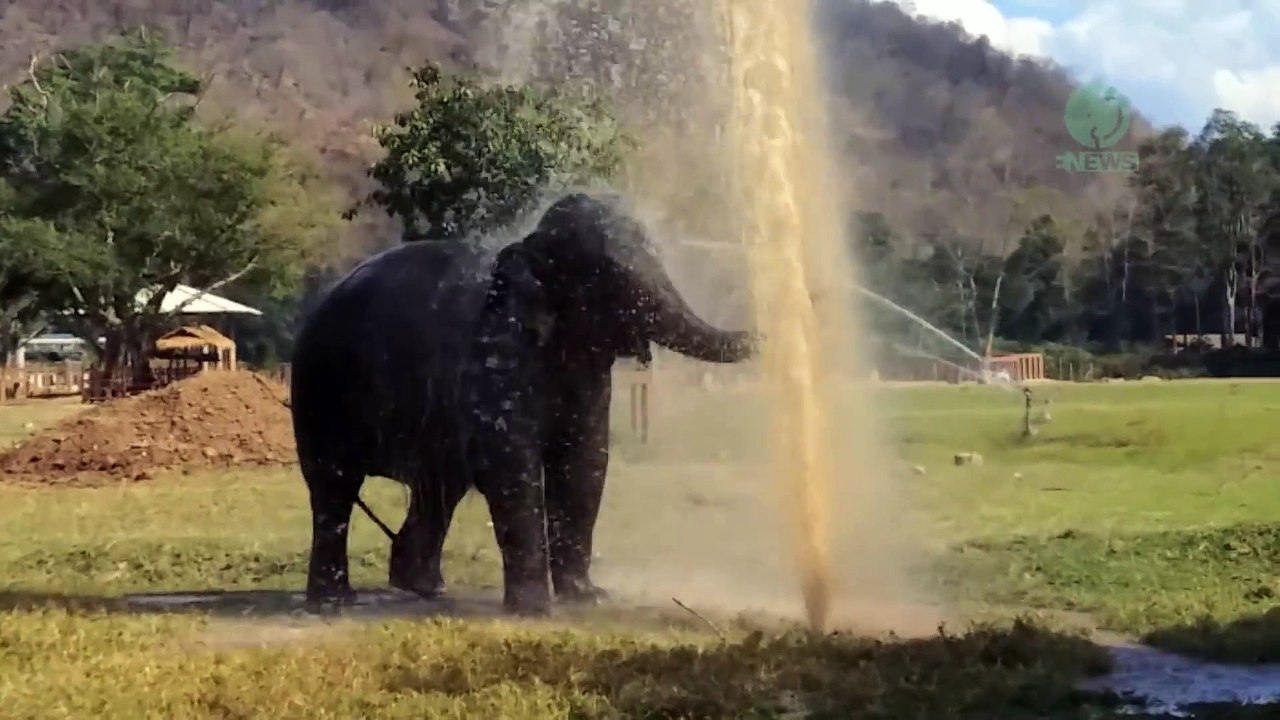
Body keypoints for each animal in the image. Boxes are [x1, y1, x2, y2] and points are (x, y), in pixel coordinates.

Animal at [289, 192, 755, 615]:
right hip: (319, 389)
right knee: (335, 487)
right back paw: (333, 602)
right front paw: (536, 609)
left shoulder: (587, 376)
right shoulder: (496, 356)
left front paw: (588, 598)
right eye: (607, 273)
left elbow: (585, 461)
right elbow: (513, 464)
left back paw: (423, 586)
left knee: (439, 485)